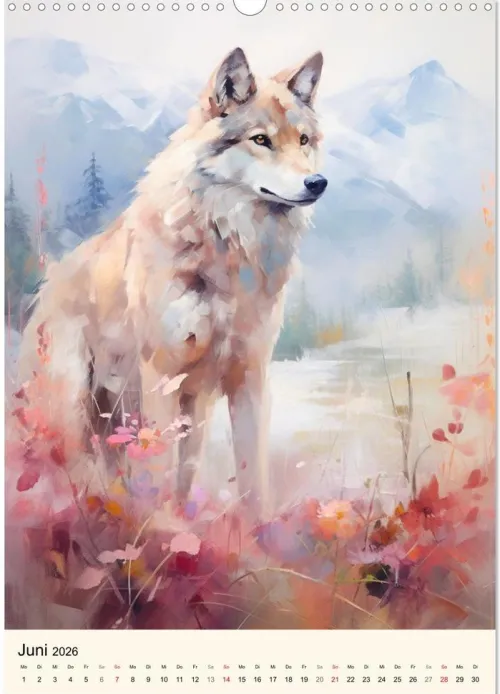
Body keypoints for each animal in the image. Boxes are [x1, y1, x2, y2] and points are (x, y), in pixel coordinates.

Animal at [17, 47, 327, 520]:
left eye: (304, 141)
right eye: (260, 140)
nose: (317, 183)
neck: (228, 247)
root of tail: (45, 292)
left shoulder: (249, 375)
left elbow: (250, 474)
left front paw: (259, 534)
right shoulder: (161, 374)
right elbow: (159, 469)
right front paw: (162, 528)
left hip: (174, 415)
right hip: (72, 407)